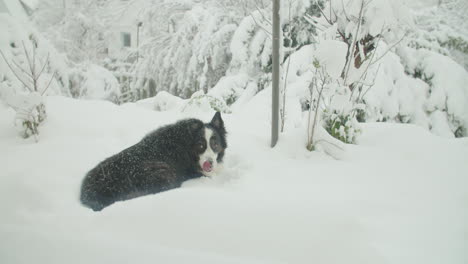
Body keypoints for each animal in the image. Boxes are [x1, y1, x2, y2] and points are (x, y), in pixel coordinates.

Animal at [80, 112, 227, 211]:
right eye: (200, 145)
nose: (209, 163)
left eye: (215, 145)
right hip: (162, 170)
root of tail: (87, 193)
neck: (185, 145)